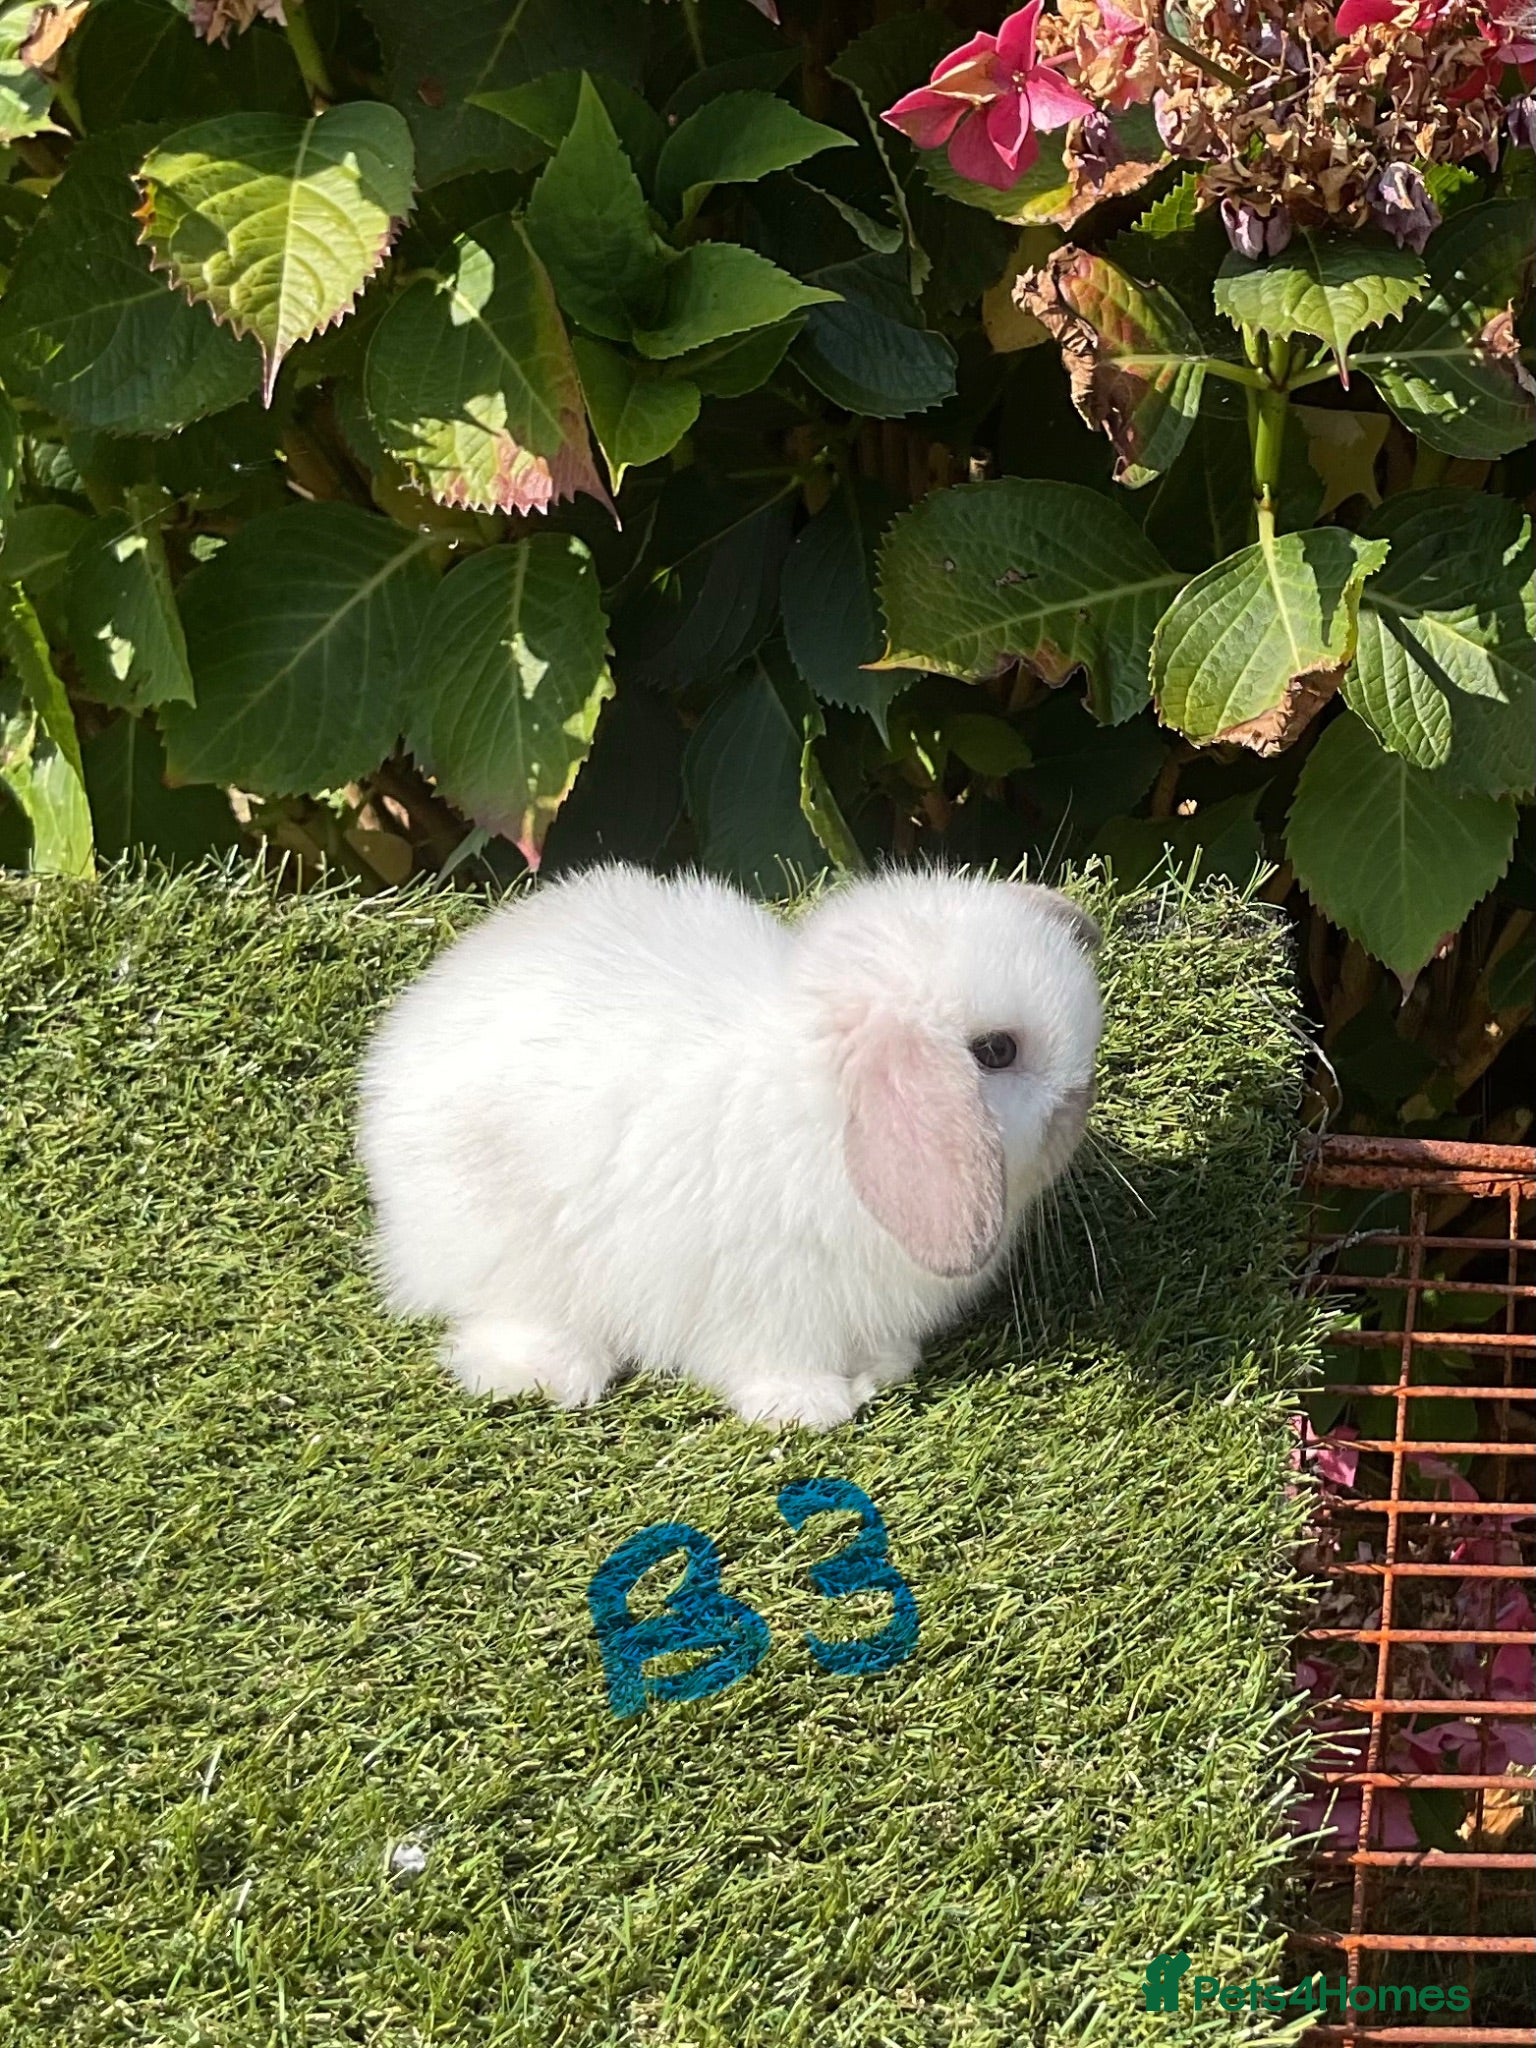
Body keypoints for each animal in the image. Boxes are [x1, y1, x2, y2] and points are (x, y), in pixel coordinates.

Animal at [356, 862, 1101, 1431]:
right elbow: (772, 1361)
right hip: (511, 1250)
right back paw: (548, 1373)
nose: (1078, 1103)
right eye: (996, 1051)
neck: (820, 1110)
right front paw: (808, 1409)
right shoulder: (766, 1297)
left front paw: (885, 1369)